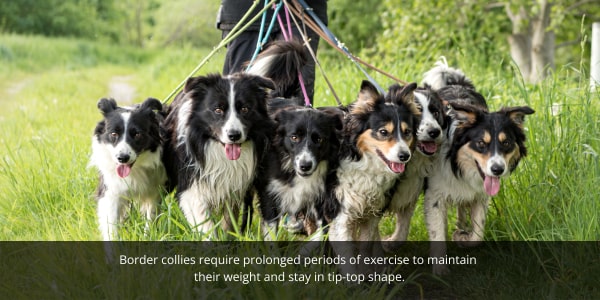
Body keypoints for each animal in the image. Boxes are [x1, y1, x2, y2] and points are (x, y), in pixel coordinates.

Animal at [89, 97, 165, 240]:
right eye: (113, 133)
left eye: (137, 134)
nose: (122, 158)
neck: (136, 168)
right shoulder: (111, 188)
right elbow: (111, 225)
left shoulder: (155, 188)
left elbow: (151, 215)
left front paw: (148, 236)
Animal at [420, 60, 536, 274]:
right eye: (481, 143)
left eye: (506, 143)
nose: (497, 169)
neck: (458, 164)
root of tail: (457, 83)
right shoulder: (434, 195)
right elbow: (437, 232)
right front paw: (440, 270)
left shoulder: (480, 195)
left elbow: (478, 234)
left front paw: (462, 237)